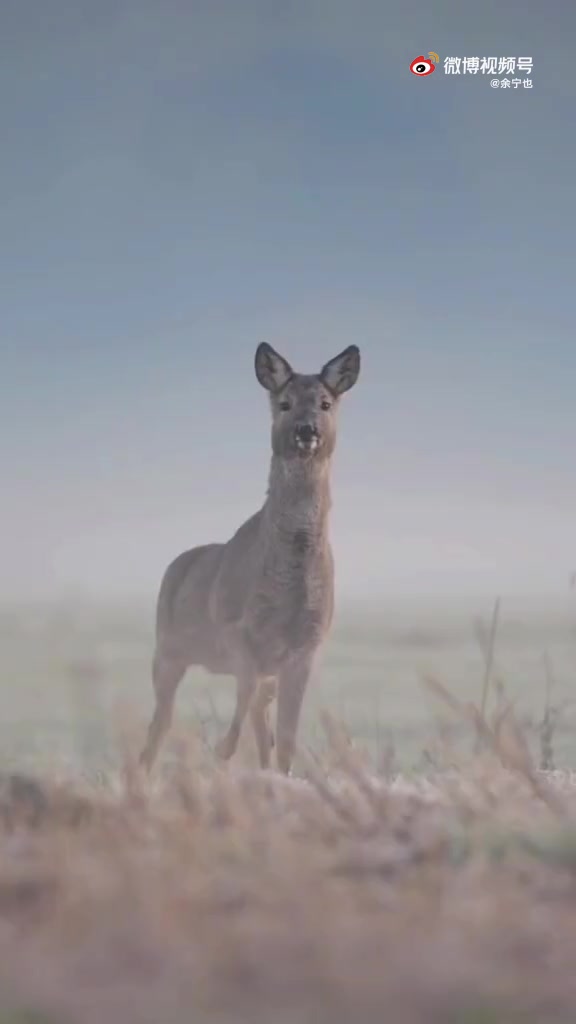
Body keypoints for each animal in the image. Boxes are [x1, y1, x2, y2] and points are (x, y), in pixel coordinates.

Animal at [139, 339, 358, 770]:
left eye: (325, 403)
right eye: (284, 403)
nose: (306, 430)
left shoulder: (307, 646)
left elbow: (285, 736)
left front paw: (277, 773)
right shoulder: (235, 629)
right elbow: (245, 706)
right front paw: (221, 750)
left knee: (257, 717)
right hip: (166, 648)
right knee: (161, 722)